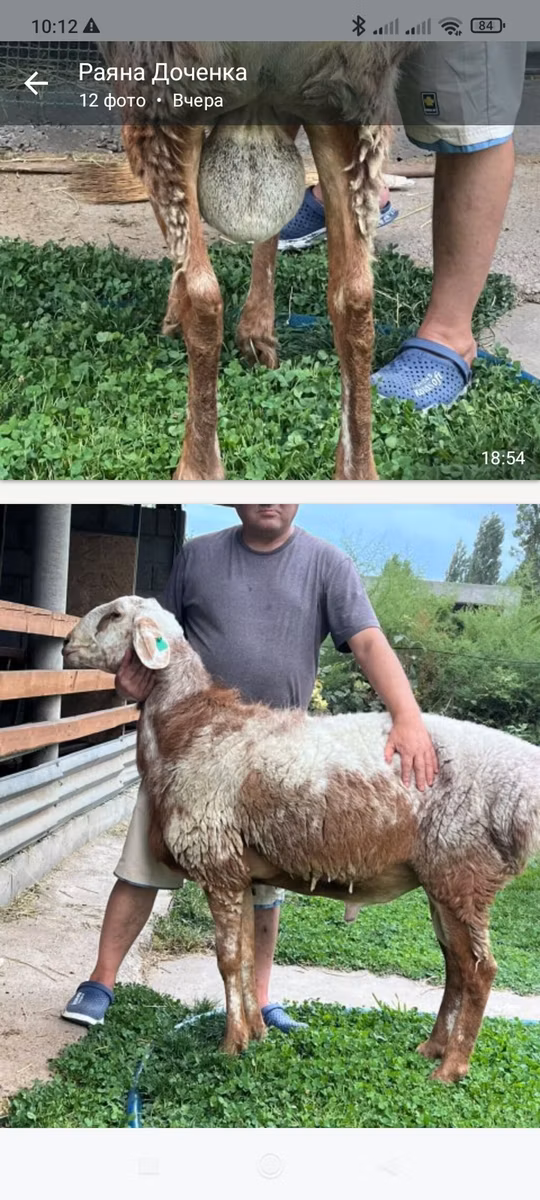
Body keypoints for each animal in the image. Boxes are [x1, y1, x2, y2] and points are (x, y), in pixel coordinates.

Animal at [98, 41, 410, 481]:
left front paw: (180, 315)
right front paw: (256, 333)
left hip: (160, 83)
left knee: (205, 295)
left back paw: (197, 469)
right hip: (353, 103)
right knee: (355, 297)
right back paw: (358, 473)